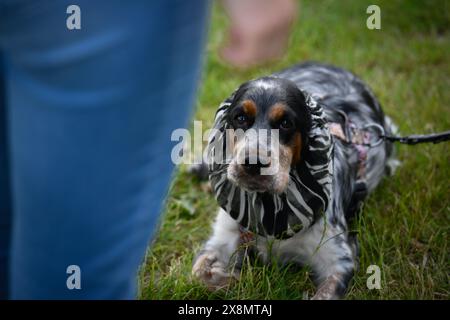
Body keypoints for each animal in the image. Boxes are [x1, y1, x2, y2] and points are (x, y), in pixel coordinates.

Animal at [192, 62, 400, 300]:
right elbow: (199, 273)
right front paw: (227, 276)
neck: (271, 209)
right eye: (240, 118)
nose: (253, 163)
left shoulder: (338, 260)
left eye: (285, 123)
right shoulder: (223, 236)